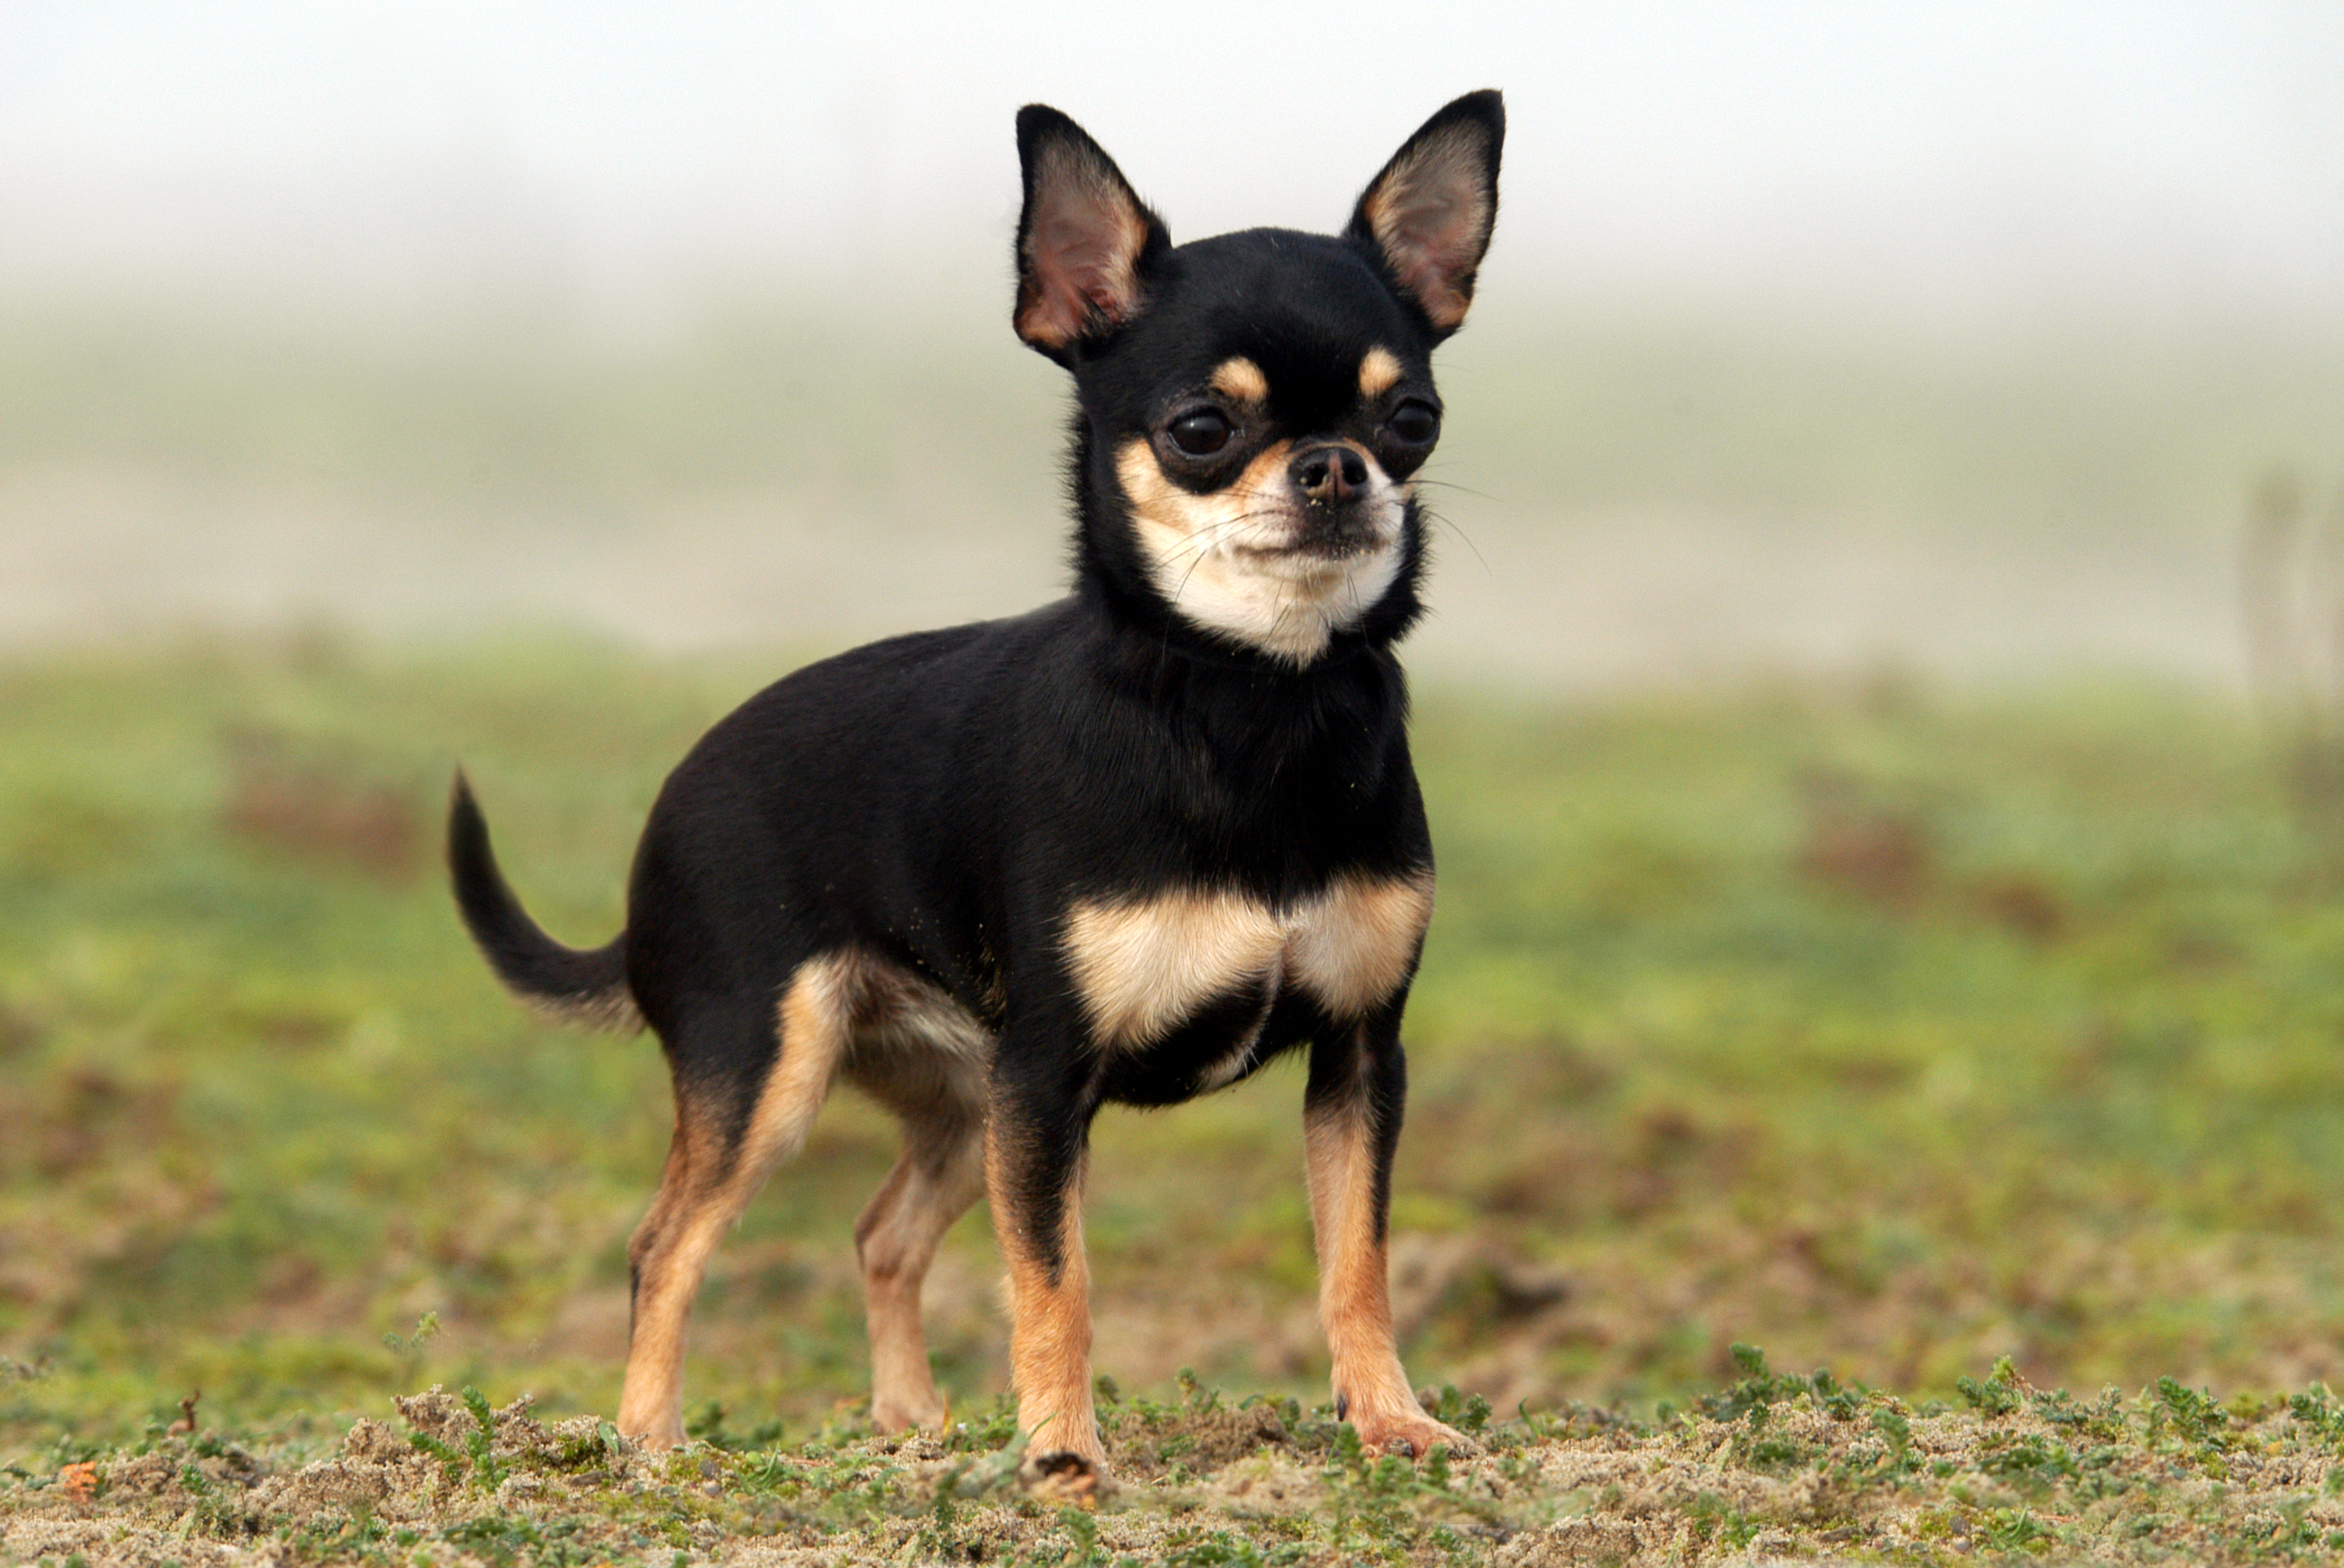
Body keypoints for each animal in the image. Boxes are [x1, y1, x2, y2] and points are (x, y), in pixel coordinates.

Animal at [450, 92, 1509, 1471]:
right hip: (776, 1081)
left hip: (963, 1105)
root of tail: (672, 800)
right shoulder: (1051, 1085)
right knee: (664, 1246)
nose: (1338, 466)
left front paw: (1389, 1419)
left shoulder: (1356, 1059)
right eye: (1202, 430)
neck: (1249, 697)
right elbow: (1056, 1285)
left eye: (1411, 420)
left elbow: (1356, 1264)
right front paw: (1062, 1458)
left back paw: (909, 1426)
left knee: (880, 1233)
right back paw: (650, 1449)